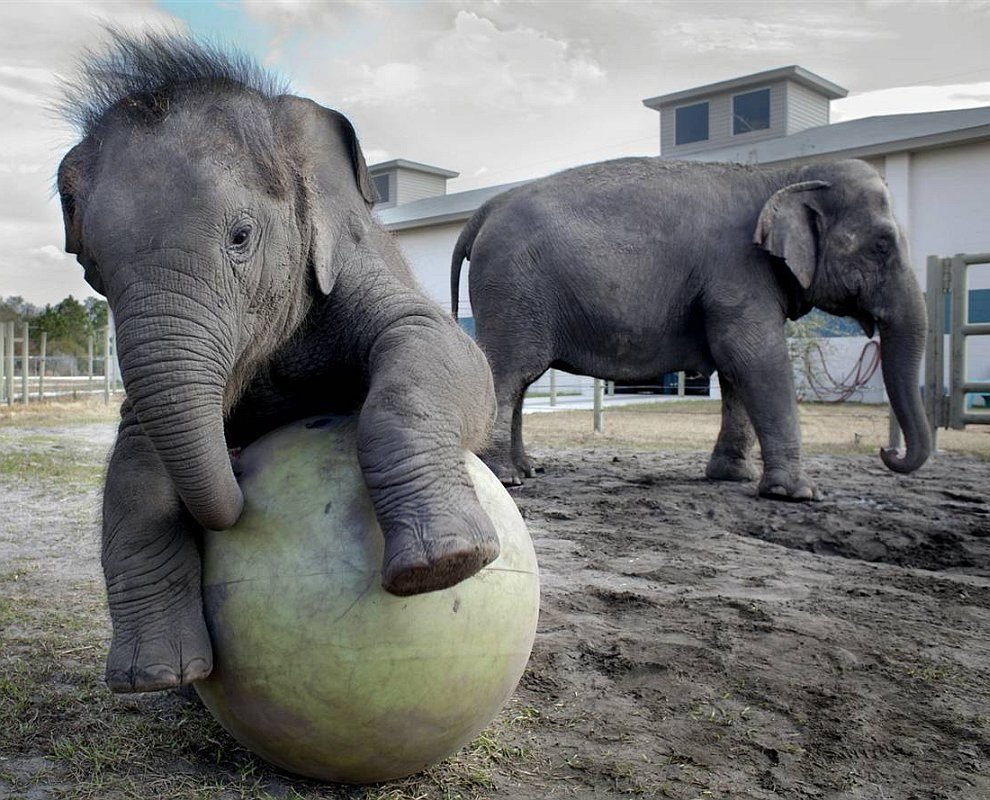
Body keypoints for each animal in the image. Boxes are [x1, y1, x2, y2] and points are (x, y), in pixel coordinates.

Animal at [58, 32, 500, 692]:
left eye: (240, 237)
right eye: (93, 272)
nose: (239, 457)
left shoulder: (348, 260)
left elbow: (436, 346)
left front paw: (444, 564)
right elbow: (135, 464)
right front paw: (153, 677)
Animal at [454, 155, 932, 496]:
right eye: (882, 245)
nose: (888, 451)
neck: (782, 176)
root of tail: (483, 211)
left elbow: (739, 370)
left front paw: (732, 477)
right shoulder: (738, 271)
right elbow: (755, 356)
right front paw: (797, 494)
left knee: (520, 379)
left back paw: (526, 470)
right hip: (515, 288)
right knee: (511, 372)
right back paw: (507, 479)